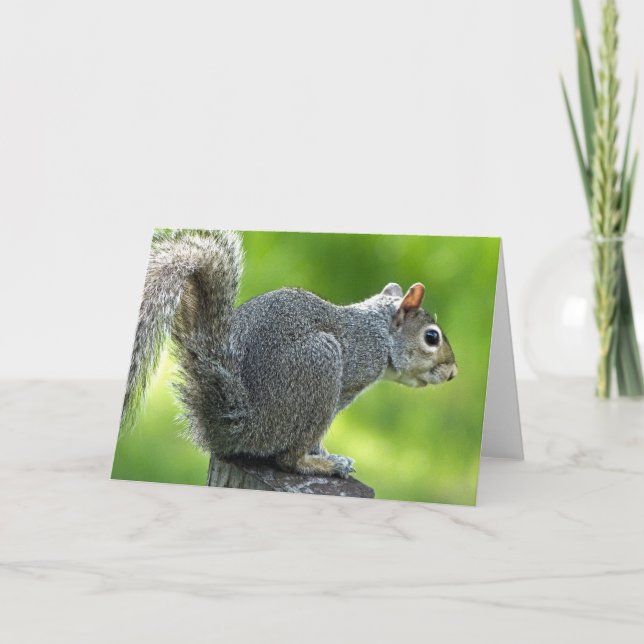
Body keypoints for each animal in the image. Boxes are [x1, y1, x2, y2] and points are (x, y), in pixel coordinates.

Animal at [120, 229, 457, 479]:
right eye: (431, 337)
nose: (453, 372)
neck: (379, 332)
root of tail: (241, 424)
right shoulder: (349, 380)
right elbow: (314, 439)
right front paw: (322, 454)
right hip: (321, 370)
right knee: (288, 459)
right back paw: (324, 465)